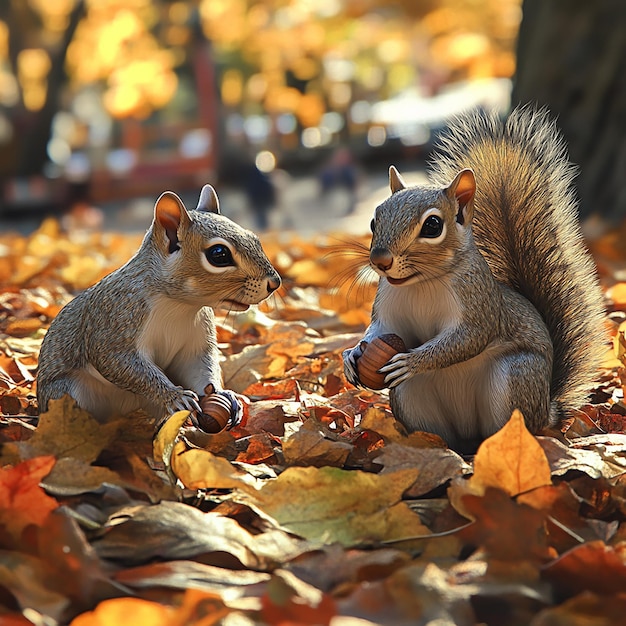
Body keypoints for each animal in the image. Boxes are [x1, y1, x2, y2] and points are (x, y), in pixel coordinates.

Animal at [37, 184, 280, 428]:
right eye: (219, 254)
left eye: (255, 239)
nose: (275, 282)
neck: (179, 306)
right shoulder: (116, 322)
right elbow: (118, 362)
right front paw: (174, 396)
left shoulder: (196, 339)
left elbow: (198, 366)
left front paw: (223, 393)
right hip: (69, 392)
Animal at [342, 106, 604, 448]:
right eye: (374, 221)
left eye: (432, 226)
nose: (380, 260)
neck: (421, 283)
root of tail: (546, 411)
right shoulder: (388, 308)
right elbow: (380, 330)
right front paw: (352, 354)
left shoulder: (477, 300)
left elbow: (468, 338)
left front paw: (413, 361)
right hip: (410, 396)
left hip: (515, 376)